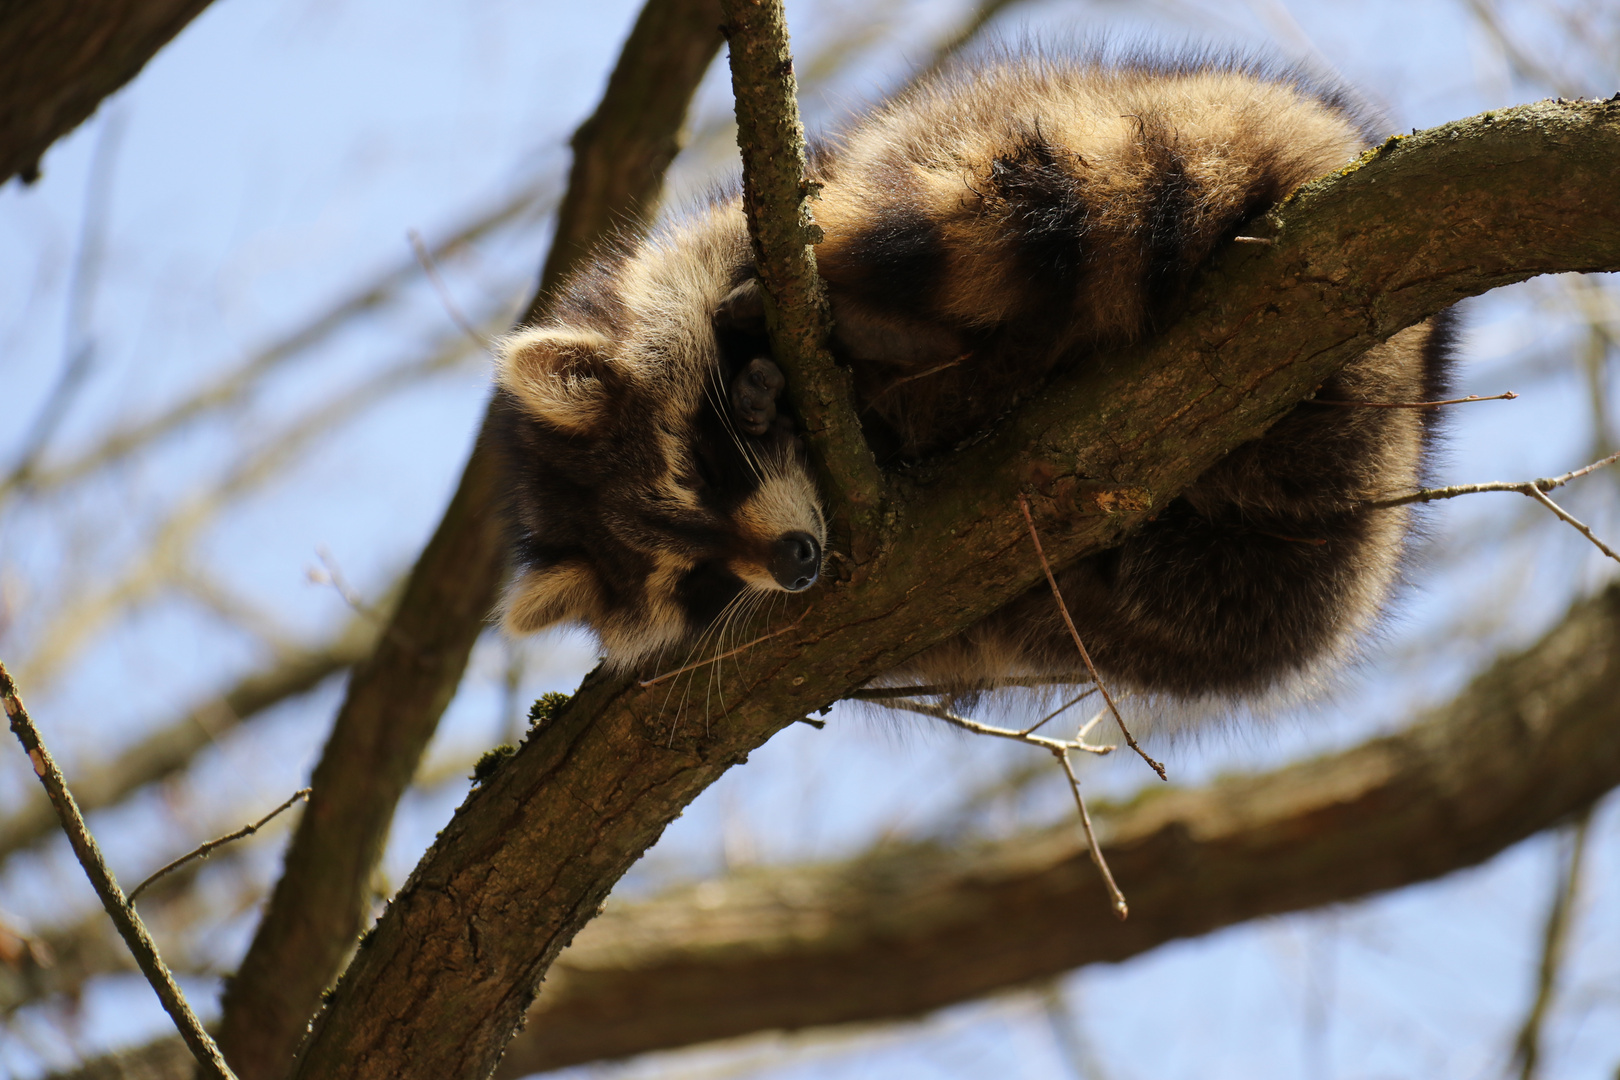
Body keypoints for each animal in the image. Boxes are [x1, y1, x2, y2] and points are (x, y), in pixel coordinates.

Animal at [492, 52, 1458, 702]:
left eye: (710, 464)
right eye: (697, 583)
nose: (795, 565)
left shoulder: (762, 219)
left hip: (1076, 108)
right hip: (1213, 600)